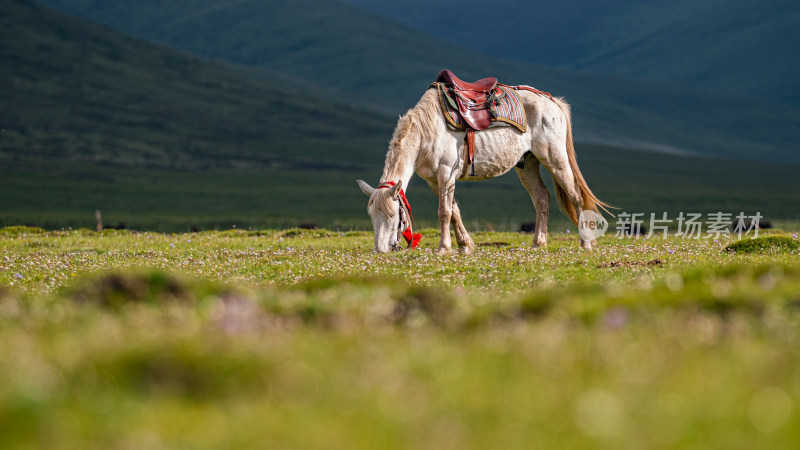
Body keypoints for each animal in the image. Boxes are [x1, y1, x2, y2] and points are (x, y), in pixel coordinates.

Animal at [356, 81, 608, 253]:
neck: (427, 130)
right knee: (541, 198)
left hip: (554, 159)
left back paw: (585, 243)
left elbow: (444, 212)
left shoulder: (446, 174)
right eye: (371, 215)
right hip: (527, 164)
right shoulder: (434, 180)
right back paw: (538, 243)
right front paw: (464, 245)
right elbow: (454, 211)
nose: (379, 250)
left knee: (575, 195)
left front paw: (444, 248)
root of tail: (553, 101)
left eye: (392, 215)